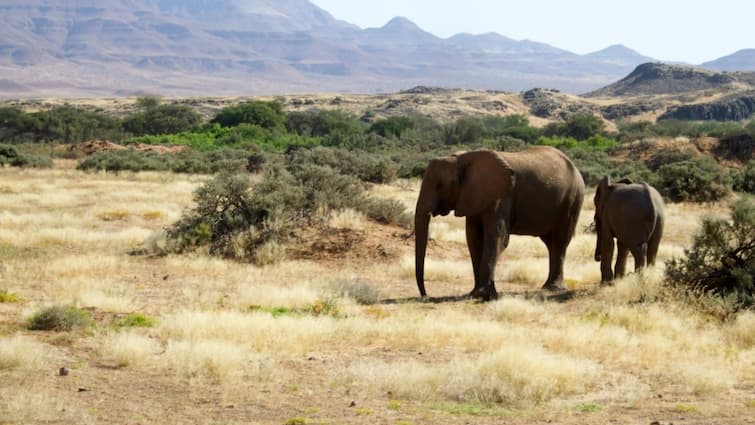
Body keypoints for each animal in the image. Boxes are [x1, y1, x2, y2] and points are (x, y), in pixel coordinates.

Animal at [414, 147, 584, 300]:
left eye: (439, 185)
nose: (426, 295)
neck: (463, 158)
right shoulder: (473, 197)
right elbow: (474, 239)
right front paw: (474, 293)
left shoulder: (499, 197)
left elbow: (497, 238)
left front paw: (483, 295)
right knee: (551, 243)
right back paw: (548, 287)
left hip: (572, 201)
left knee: (559, 241)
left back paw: (553, 288)